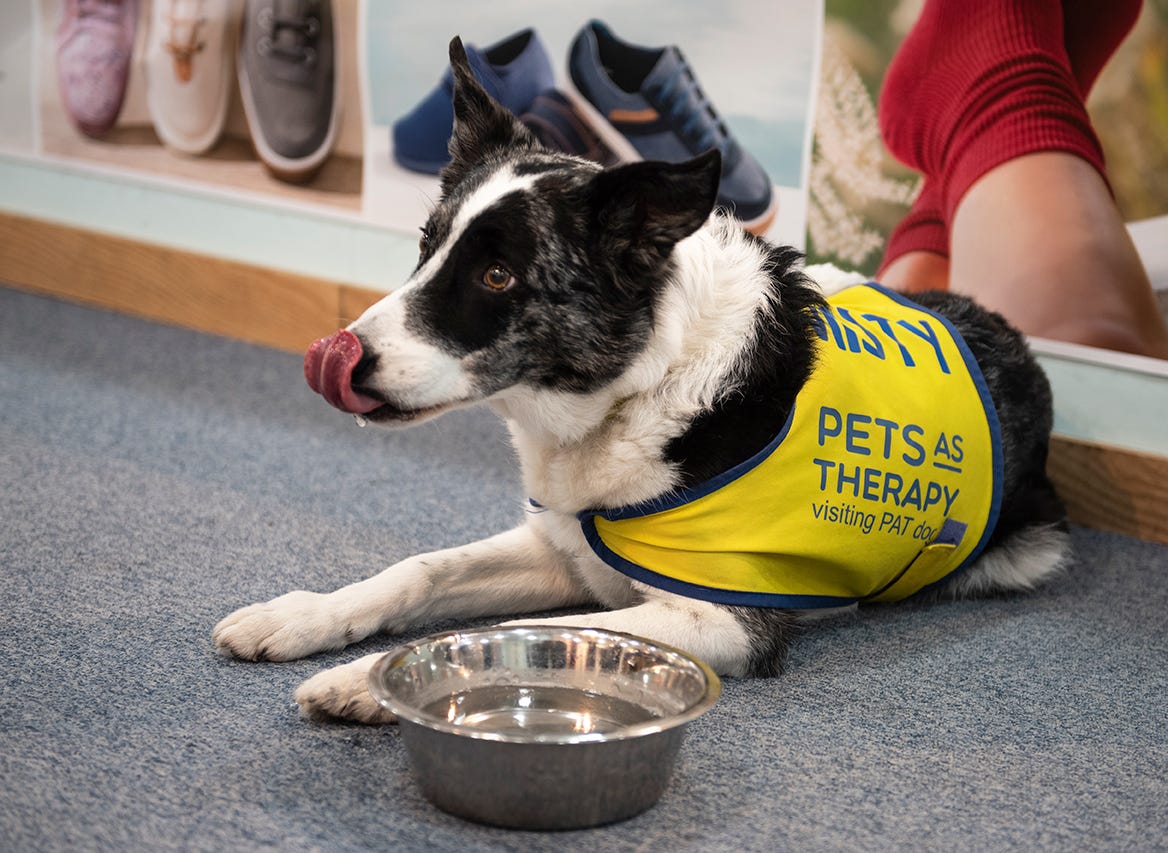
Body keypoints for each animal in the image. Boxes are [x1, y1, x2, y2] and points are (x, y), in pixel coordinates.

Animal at [214, 38, 1069, 719]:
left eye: (497, 275)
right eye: (427, 246)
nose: (338, 355)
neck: (638, 392)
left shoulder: (725, 619)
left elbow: (510, 635)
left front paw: (368, 678)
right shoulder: (562, 552)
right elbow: (419, 570)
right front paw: (302, 616)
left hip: (1027, 548)